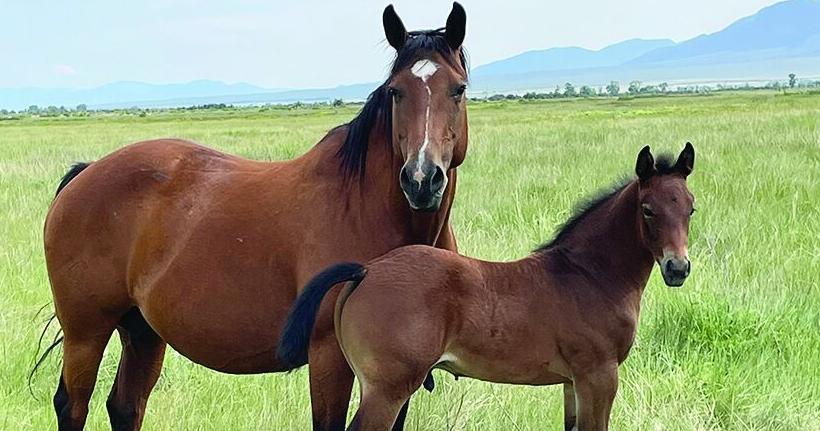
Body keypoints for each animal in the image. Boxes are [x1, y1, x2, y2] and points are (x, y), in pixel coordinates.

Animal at [40, 3, 469, 430]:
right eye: (396, 91)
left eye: (459, 89)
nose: (421, 179)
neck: (365, 207)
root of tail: (88, 171)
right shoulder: (328, 355)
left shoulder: (395, 373)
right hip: (85, 334)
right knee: (73, 406)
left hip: (141, 330)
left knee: (126, 406)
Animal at [277, 143, 697, 430]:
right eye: (647, 209)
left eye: (690, 207)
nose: (678, 268)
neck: (589, 273)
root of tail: (366, 270)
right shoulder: (599, 375)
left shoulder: (572, 383)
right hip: (388, 390)